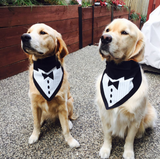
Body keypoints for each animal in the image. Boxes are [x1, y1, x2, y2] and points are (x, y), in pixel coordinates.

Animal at [95, 19, 157, 159]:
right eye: (107, 30)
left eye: (124, 32)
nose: (105, 38)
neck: (118, 73)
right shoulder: (104, 114)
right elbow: (107, 135)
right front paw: (106, 149)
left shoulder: (135, 119)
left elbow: (129, 138)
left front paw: (128, 153)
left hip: (151, 114)